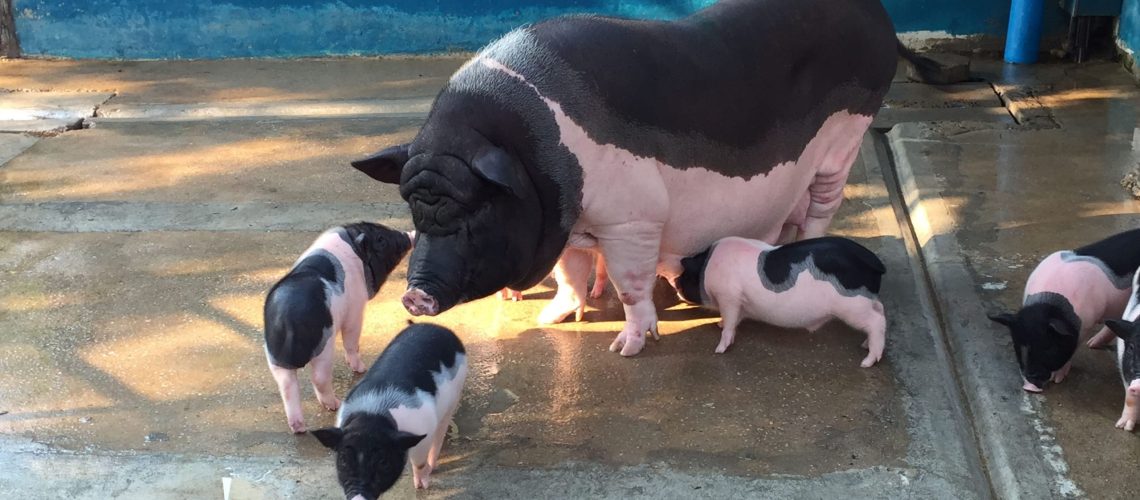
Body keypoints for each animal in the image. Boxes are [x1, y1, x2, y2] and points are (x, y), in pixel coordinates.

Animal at [263, 223, 413, 433]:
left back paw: (299, 428)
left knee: (287, 386)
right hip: (324, 346)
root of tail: (286, 318)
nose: (409, 234)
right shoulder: (355, 310)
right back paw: (335, 404)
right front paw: (360, 368)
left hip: (274, 357)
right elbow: (352, 339)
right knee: (319, 377)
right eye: (381, 240)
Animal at [311, 322, 467, 497]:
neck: (373, 414)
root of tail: (440, 328)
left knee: (440, 431)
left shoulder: (423, 432)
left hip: (455, 395)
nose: (358, 497)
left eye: (383, 462)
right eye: (343, 460)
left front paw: (420, 486)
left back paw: (432, 466)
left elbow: (419, 463)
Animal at [673, 236, 886, 366]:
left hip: (853, 305)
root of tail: (874, 261)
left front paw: (718, 349)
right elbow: (733, 320)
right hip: (866, 302)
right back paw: (864, 345)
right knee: (880, 310)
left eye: (686, 276)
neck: (707, 267)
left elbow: (731, 322)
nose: (675, 281)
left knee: (877, 321)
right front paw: (719, 324)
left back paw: (866, 362)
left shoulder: (729, 297)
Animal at [988, 228, 1140, 393]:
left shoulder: (1085, 323)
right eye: (1017, 345)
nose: (1030, 387)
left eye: (1048, 346)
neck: (1048, 304)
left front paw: (1057, 379)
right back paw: (1092, 344)